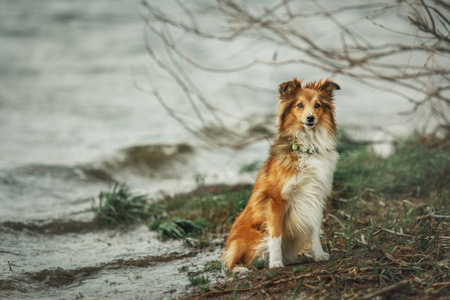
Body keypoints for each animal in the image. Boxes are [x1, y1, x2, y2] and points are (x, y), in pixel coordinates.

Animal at [220, 78, 340, 272]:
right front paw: (275, 262)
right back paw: (243, 268)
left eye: (317, 105)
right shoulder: (277, 200)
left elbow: (314, 231)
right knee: (229, 261)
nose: (310, 118)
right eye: (299, 105)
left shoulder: (315, 195)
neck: (306, 147)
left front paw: (319, 254)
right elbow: (276, 235)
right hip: (252, 234)